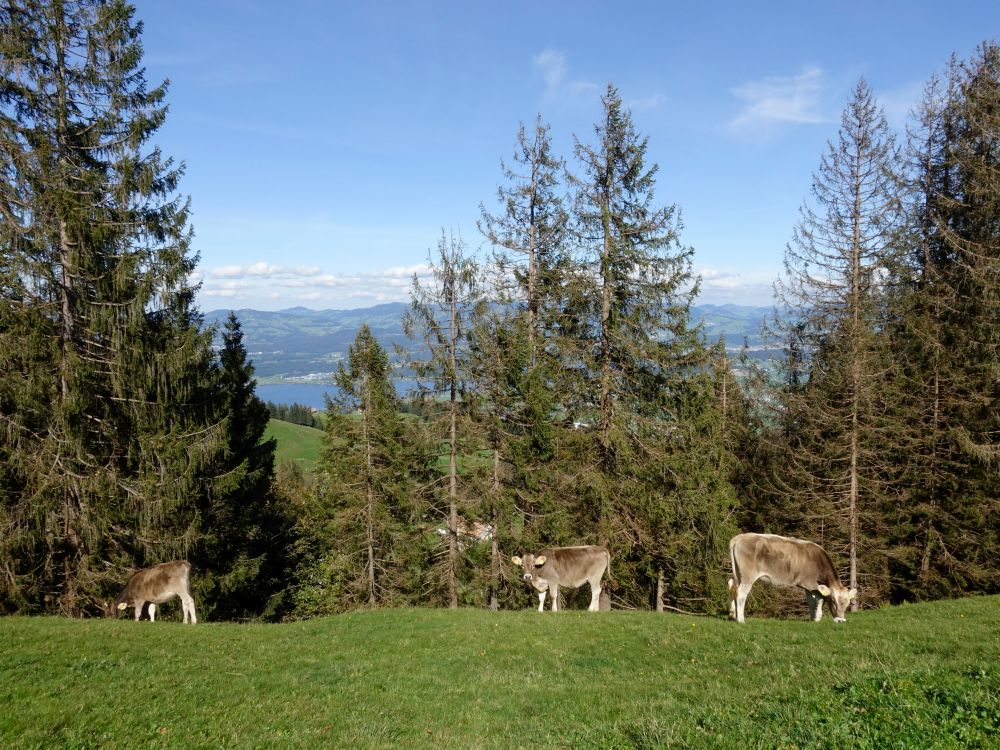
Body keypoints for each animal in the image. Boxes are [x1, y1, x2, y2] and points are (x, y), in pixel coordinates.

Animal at [728, 536, 860, 624]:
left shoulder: (809, 586)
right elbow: (818, 601)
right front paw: (817, 618)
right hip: (747, 577)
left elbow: (811, 602)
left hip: (738, 575)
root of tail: (740, 537)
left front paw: (813, 618)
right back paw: (741, 620)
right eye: (833, 601)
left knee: (733, 589)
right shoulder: (811, 585)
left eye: (848, 603)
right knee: (741, 594)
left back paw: (733, 615)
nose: (841, 620)